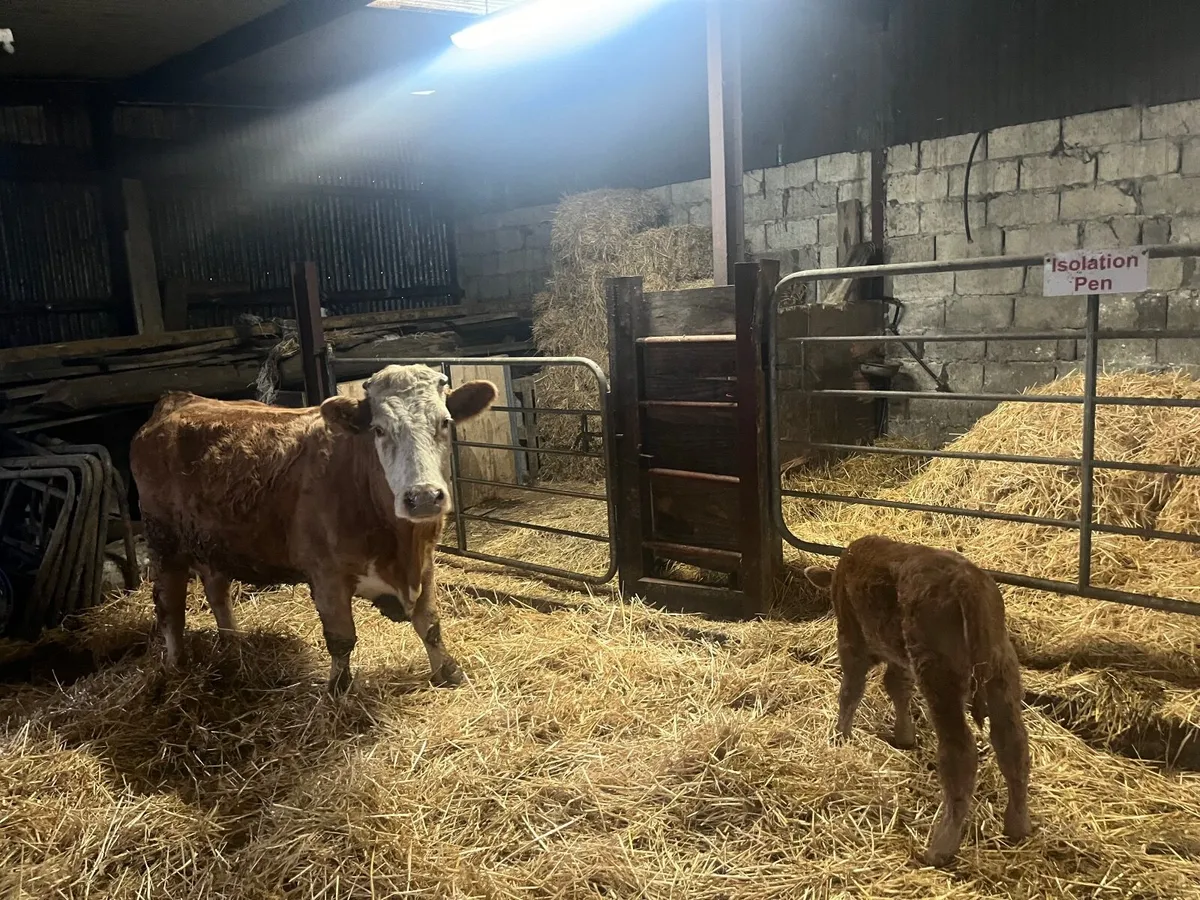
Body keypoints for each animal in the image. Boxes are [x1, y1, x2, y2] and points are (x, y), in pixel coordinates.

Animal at [129, 364, 497, 694]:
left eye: (445, 422)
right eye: (378, 429)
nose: (422, 497)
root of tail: (178, 400)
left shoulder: (425, 562)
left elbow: (430, 623)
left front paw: (448, 671)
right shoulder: (327, 574)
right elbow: (341, 638)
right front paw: (338, 689)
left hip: (211, 542)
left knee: (217, 592)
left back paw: (233, 643)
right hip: (164, 542)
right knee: (169, 606)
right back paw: (176, 667)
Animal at [803, 535, 1031, 867]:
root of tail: (967, 582)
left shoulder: (851, 638)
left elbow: (851, 689)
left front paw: (839, 736)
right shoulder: (899, 657)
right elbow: (896, 685)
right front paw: (904, 735)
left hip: (939, 673)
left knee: (960, 750)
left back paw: (941, 847)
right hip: (1001, 669)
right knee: (1012, 741)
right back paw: (1017, 825)